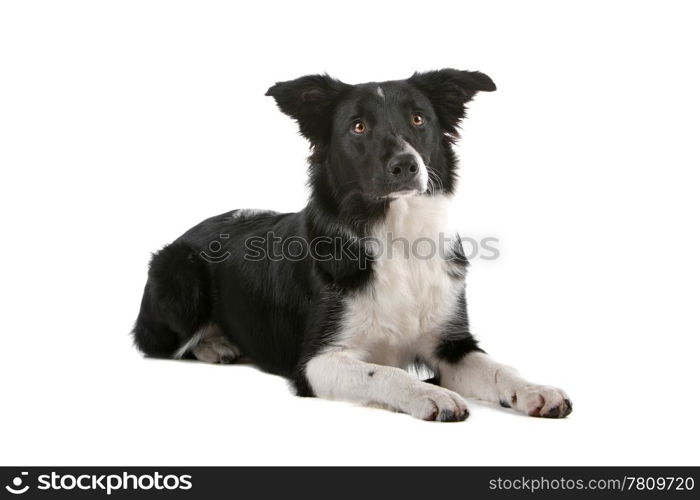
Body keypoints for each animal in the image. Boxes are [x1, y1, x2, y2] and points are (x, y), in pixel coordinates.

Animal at [134, 69, 572, 422]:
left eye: (419, 119)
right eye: (358, 127)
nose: (406, 165)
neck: (397, 239)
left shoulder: (451, 343)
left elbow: (500, 369)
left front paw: (536, 390)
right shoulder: (317, 361)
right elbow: (385, 372)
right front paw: (429, 394)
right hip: (179, 276)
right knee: (164, 343)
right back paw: (216, 346)